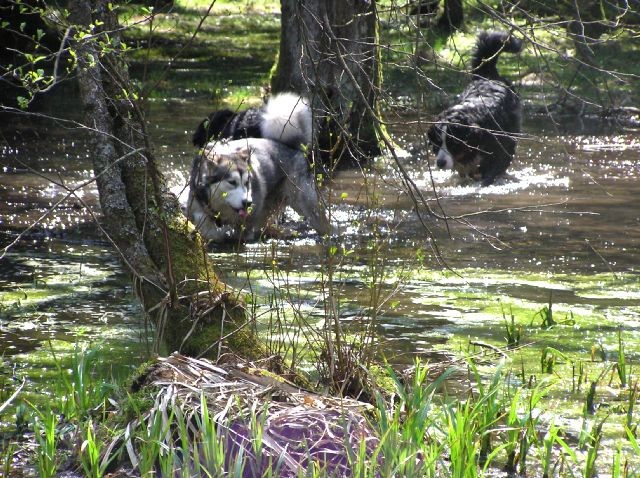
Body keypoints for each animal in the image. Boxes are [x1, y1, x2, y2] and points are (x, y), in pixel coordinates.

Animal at [428, 31, 524, 185]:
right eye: (437, 143)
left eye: (453, 144)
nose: (440, 163)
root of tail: (488, 75)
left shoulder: (498, 149)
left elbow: (494, 168)